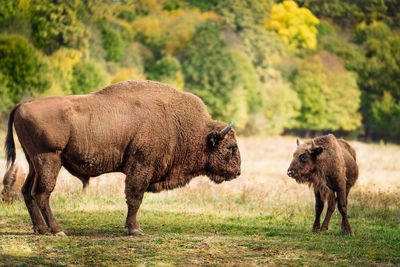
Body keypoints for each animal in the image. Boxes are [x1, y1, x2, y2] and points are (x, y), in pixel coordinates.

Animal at [4, 80, 241, 238]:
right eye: (230, 147)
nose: (238, 172)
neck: (178, 123)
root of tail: (22, 105)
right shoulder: (141, 167)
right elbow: (135, 198)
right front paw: (135, 229)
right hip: (49, 159)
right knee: (42, 193)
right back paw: (57, 230)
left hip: (33, 163)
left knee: (27, 192)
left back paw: (40, 229)